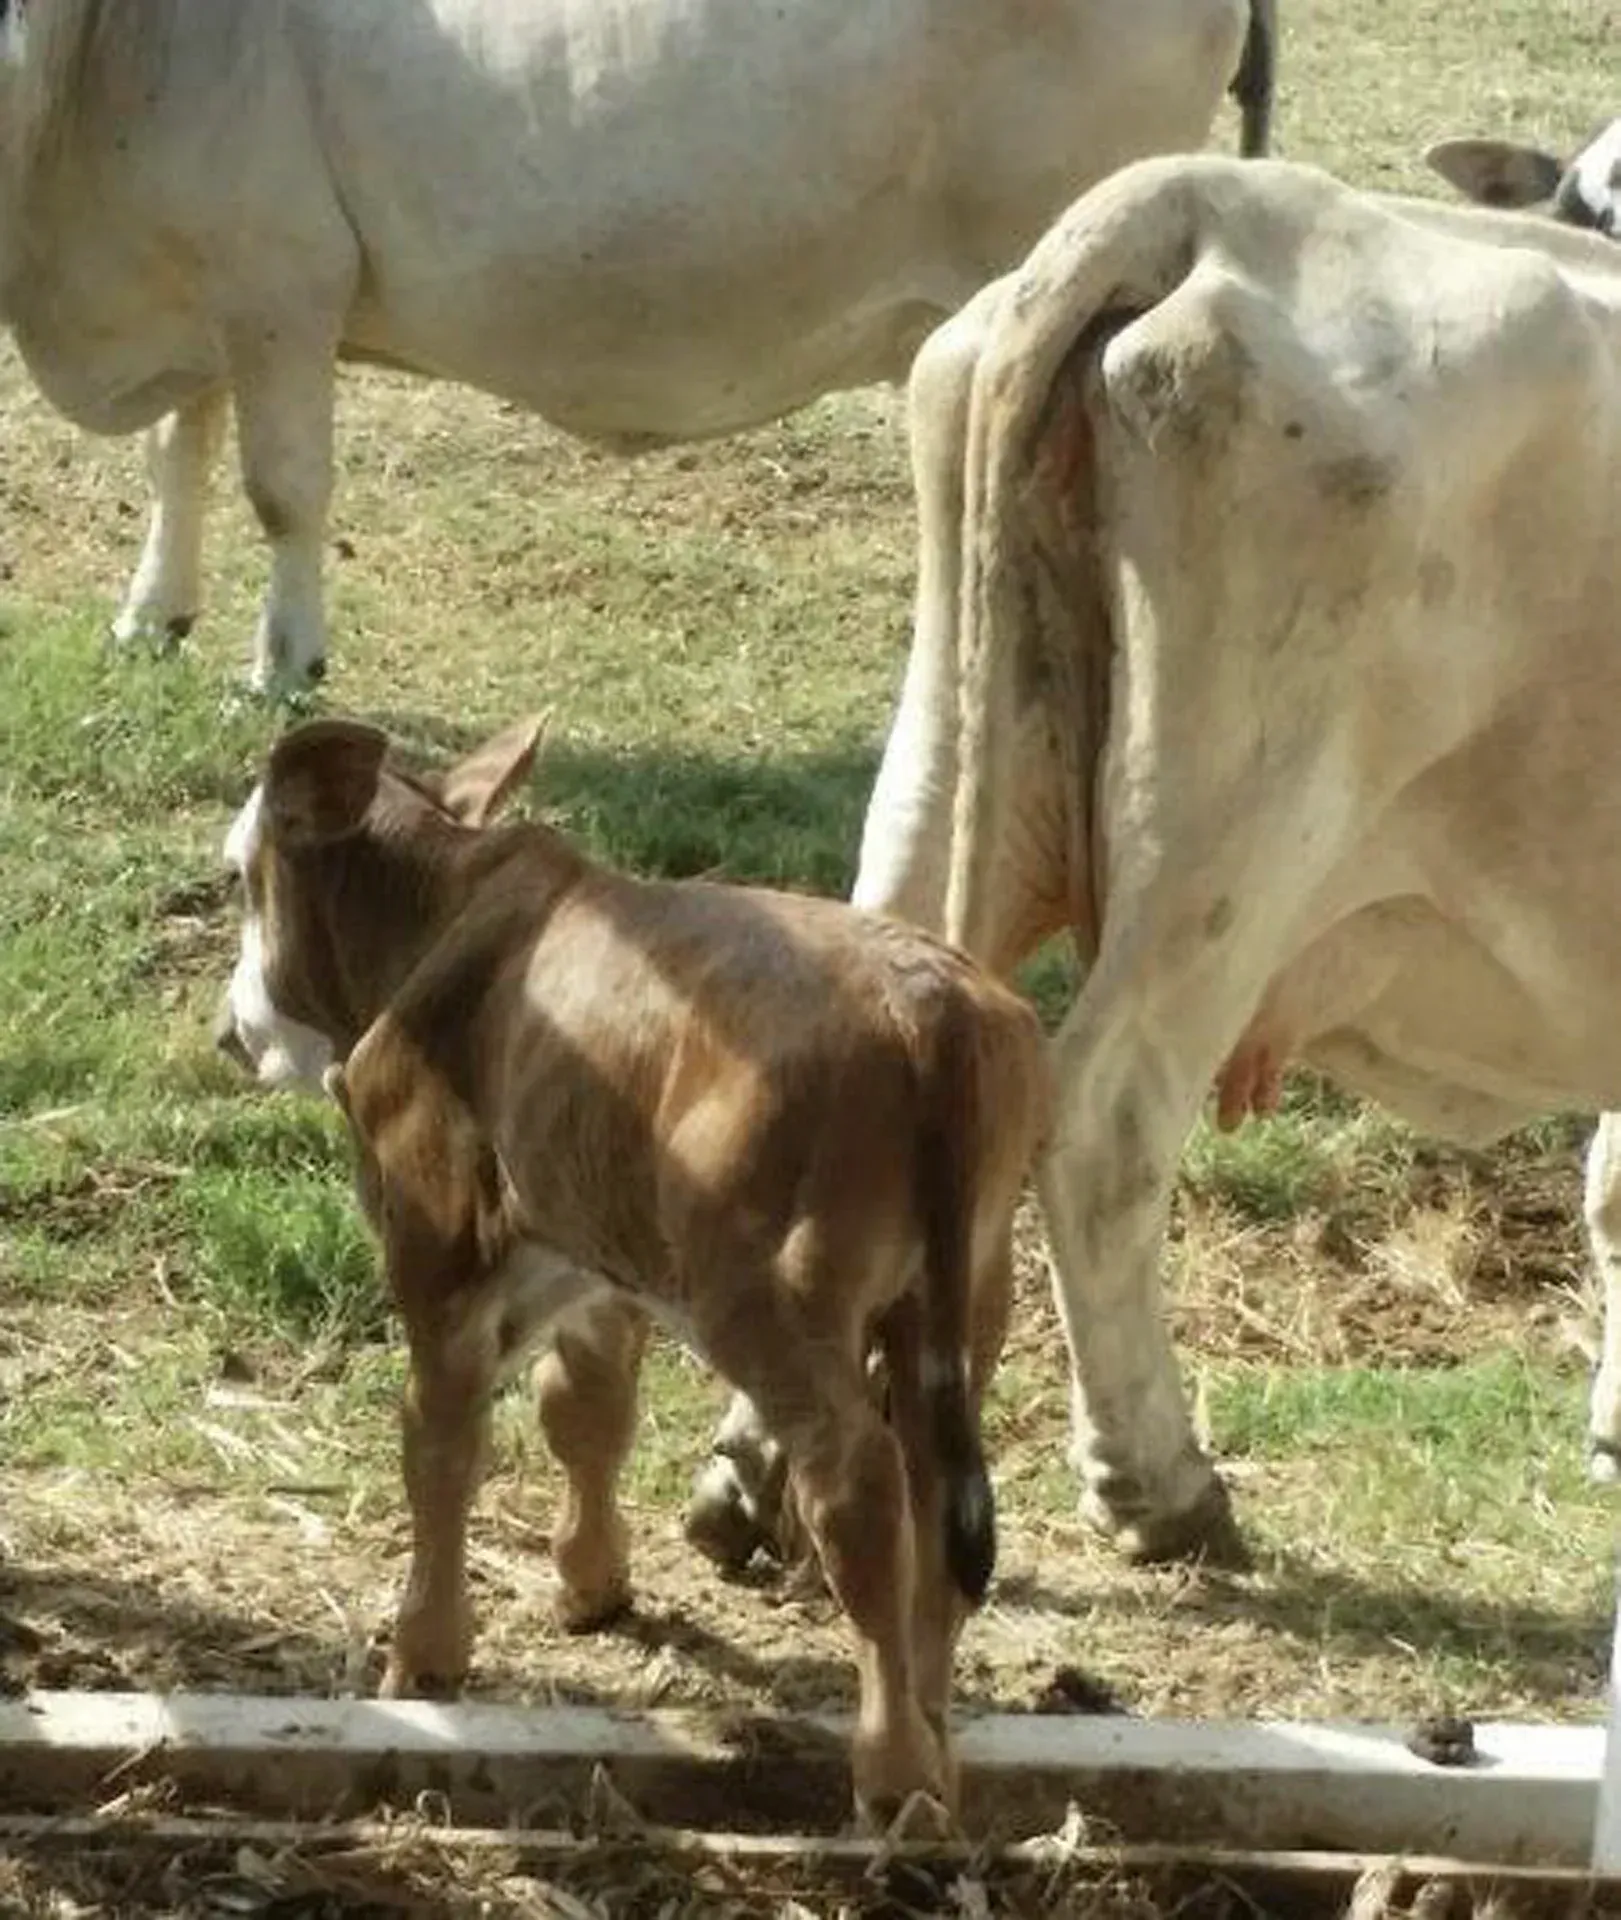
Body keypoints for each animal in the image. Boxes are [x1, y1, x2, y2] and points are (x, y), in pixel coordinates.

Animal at [0, 0, 1273, 697]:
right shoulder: (204, 280)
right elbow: (179, 452)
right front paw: (151, 617)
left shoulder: (283, 283)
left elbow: (282, 491)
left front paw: (282, 669)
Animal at [216, 715, 1050, 1820]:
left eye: (237, 874)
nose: (229, 1029)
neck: (446, 917)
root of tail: (928, 1007)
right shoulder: (594, 1258)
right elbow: (586, 1410)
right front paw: (591, 1584)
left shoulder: (435, 1245)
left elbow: (439, 1441)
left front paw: (424, 1657)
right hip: (968, 1289)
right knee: (934, 1497)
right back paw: (933, 1734)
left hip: (771, 1295)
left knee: (859, 1486)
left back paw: (895, 1777)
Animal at [689, 151, 1621, 1574]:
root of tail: (1202, 200)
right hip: (1233, 842)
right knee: (1108, 1120)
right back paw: (1160, 1485)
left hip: (947, 753)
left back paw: (750, 1479)